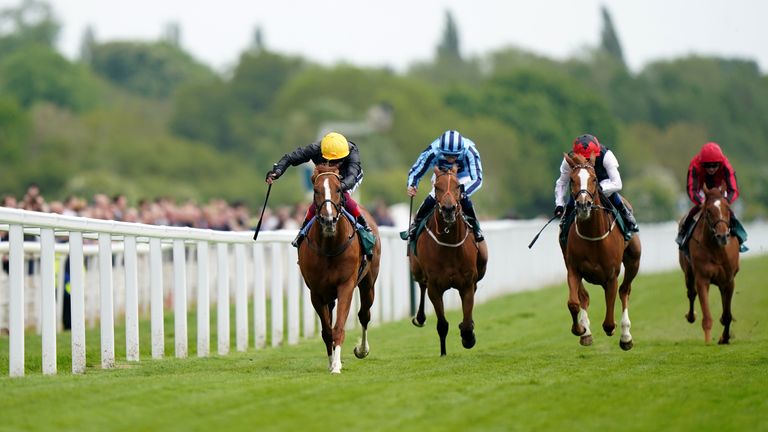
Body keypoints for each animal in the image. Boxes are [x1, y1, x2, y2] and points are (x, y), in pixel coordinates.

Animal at [300, 164, 384, 372]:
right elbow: (326, 331)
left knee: (364, 314)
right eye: (316, 190)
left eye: (338, 189)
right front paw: (331, 362)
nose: (328, 219)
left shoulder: (346, 285)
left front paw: (337, 365)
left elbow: (338, 327)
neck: (329, 247)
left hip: (368, 284)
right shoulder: (316, 292)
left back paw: (362, 349)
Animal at [412, 164, 488, 356]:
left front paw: (468, 337)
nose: (448, 209)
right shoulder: (435, 287)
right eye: (437, 187)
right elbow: (442, 324)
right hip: (416, 270)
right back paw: (420, 317)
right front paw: (443, 353)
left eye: (457, 186)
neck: (449, 244)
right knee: (421, 285)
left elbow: (467, 323)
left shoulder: (467, 284)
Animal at [560, 154, 640, 350]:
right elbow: (574, 302)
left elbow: (609, 322)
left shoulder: (611, 275)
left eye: (594, 179)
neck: (593, 236)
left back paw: (626, 336)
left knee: (625, 291)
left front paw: (617, 331)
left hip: (634, 260)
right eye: (572, 179)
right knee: (584, 296)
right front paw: (580, 329)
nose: (583, 205)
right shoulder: (573, 269)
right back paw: (586, 332)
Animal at [680, 183, 740, 344]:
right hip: (688, 273)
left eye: (727, 208)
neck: (717, 250)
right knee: (691, 293)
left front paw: (724, 338)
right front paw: (708, 343)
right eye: (708, 210)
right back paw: (691, 315)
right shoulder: (702, 279)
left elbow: (727, 315)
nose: (722, 236)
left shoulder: (728, 281)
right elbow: (706, 316)